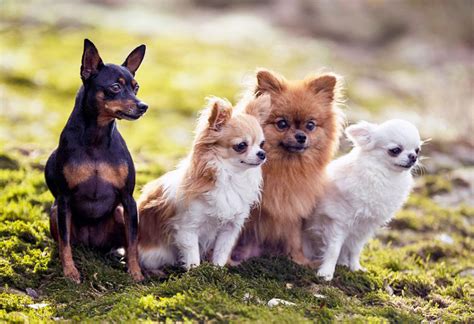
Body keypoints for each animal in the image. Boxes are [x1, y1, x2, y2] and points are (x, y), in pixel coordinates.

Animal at [45, 38, 148, 282]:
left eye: (136, 87)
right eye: (115, 87)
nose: (143, 106)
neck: (96, 139)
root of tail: (92, 245)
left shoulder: (128, 200)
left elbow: (133, 242)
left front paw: (135, 273)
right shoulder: (64, 200)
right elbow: (64, 243)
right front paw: (70, 272)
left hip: (119, 212)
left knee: (124, 243)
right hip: (55, 211)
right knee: (64, 242)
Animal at [137, 95, 270, 270]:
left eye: (262, 144)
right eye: (241, 145)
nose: (262, 154)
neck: (231, 178)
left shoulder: (229, 229)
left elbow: (221, 252)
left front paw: (216, 270)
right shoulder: (187, 229)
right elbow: (193, 256)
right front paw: (195, 272)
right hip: (155, 254)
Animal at [231, 69, 344, 266]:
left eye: (310, 125)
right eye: (282, 124)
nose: (301, 136)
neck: (285, 168)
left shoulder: (292, 210)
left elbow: (294, 238)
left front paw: (299, 260)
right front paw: (227, 261)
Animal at [306, 119, 420, 280]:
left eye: (417, 150)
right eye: (395, 150)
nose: (413, 157)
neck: (383, 176)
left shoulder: (364, 227)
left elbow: (355, 250)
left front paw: (356, 268)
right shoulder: (338, 222)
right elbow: (333, 250)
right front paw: (326, 272)